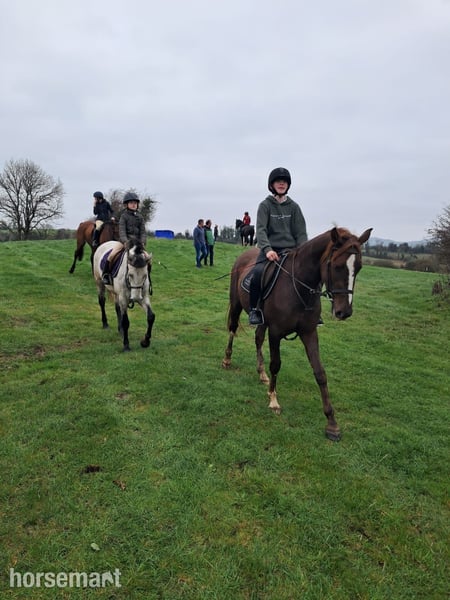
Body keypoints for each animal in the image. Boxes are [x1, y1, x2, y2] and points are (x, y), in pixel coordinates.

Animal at [222, 226, 372, 440]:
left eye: (358, 268)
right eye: (337, 267)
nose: (344, 312)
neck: (299, 286)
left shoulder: (309, 332)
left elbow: (320, 372)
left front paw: (332, 423)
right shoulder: (276, 332)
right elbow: (276, 364)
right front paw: (273, 400)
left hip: (262, 322)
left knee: (258, 338)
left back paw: (261, 373)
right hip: (236, 305)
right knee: (233, 330)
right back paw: (227, 360)